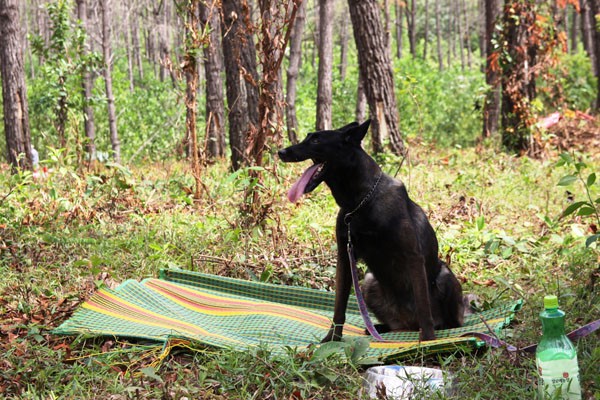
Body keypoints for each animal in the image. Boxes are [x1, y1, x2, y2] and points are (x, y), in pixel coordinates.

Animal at [278, 119, 466, 340]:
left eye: (316, 140)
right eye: (308, 137)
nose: (281, 151)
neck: (359, 202)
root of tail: (408, 322)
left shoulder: (413, 257)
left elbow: (423, 305)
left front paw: (427, 340)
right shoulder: (345, 258)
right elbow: (339, 307)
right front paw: (332, 339)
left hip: (444, 276)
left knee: (444, 320)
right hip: (369, 281)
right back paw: (378, 328)